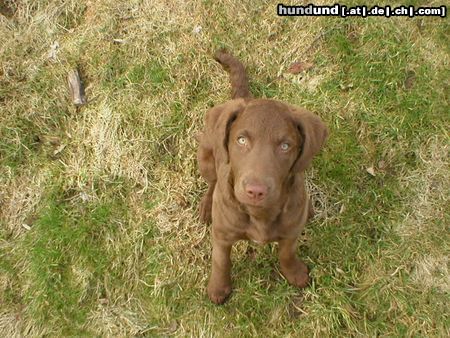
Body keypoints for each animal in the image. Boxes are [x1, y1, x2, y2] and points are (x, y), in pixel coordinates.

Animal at [197, 49, 326, 304]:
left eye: (285, 146)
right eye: (241, 140)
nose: (256, 191)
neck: (259, 214)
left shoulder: (290, 231)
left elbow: (287, 252)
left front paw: (294, 273)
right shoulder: (223, 234)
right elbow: (221, 260)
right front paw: (218, 287)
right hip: (205, 155)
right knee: (212, 181)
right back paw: (207, 206)